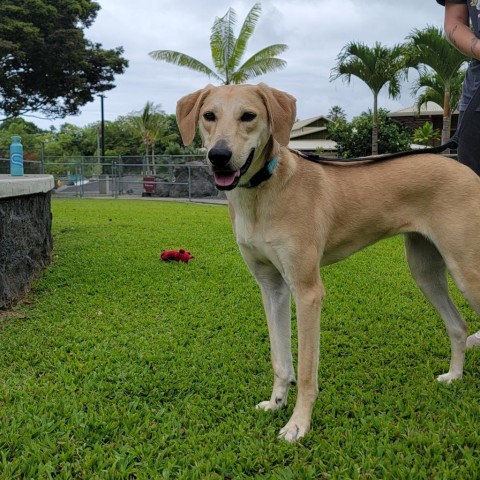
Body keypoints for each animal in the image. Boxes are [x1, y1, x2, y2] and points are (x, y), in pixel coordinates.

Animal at [176, 83, 480, 442]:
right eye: (209, 116)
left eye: (248, 116)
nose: (219, 156)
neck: (263, 190)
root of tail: (466, 171)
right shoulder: (272, 288)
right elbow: (280, 359)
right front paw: (276, 402)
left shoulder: (307, 291)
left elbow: (307, 371)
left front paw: (298, 423)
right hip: (425, 270)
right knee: (458, 325)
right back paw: (454, 376)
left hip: (467, 271)